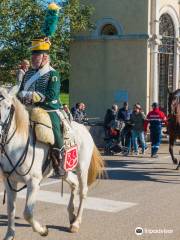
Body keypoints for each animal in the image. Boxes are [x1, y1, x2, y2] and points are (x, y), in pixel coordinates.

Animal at [0, 87, 104, 240]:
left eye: (8, 107)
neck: (16, 145)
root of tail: (84, 128)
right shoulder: (10, 181)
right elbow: (10, 209)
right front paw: (9, 235)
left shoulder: (33, 182)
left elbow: (28, 213)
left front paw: (43, 230)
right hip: (64, 170)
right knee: (74, 183)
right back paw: (72, 215)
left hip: (82, 167)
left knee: (83, 191)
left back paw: (76, 223)